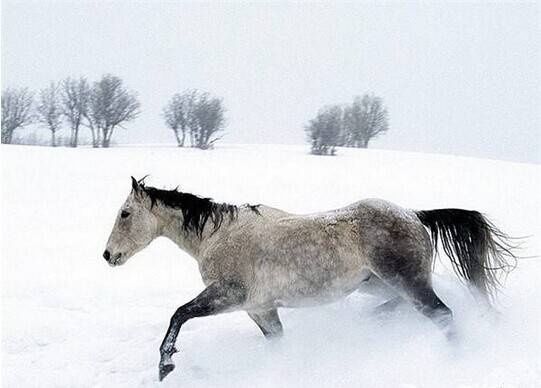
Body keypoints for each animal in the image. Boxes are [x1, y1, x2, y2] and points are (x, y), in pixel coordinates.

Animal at [102, 177, 516, 380]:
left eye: (125, 213)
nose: (108, 255)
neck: (218, 235)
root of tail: (414, 215)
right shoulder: (260, 309)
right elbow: (278, 343)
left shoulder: (228, 295)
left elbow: (179, 314)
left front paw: (165, 365)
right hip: (379, 284)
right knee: (405, 306)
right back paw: (373, 322)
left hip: (407, 281)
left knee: (443, 315)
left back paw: (456, 361)